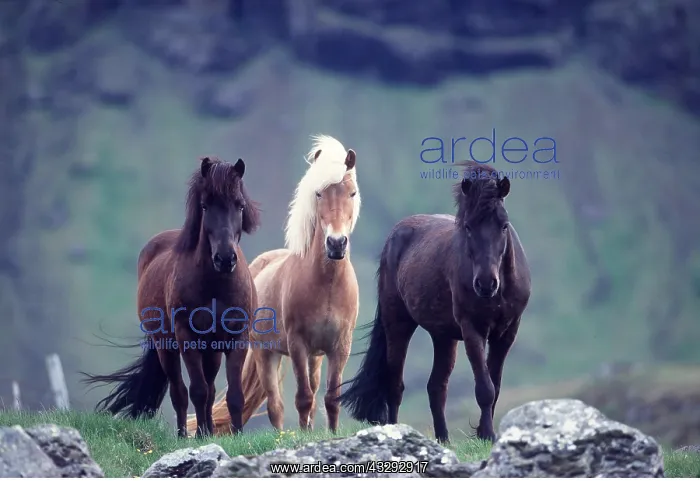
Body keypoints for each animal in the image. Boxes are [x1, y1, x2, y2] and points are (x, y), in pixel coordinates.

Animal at [82, 156, 261, 438]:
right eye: (205, 206)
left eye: (240, 205)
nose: (224, 259)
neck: (216, 287)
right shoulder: (186, 338)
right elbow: (196, 391)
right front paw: (198, 435)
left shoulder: (237, 339)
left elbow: (234, 395)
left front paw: (236, 435)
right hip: (167, 347)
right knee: (181, 392)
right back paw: (185, 434)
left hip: (211, 351)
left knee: (210, 389)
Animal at [187, 134, 361, 435]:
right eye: (319, 194)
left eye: (351, 193)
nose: (336, 244)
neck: (327, 285)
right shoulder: (297, 344)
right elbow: (302, 398)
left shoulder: (340, 347)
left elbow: (330, 398)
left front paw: (331, 434)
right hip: (265, 354)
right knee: (275, 406)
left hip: (315, 356)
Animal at [338, 161, 531, 443]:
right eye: (468, 227)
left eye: (504, 225)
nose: (486, 284)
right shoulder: (472, 330)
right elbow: (485, 388)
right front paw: (486, 434)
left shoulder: (507, 332)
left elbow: (494, 385)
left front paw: (487, 434)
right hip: (398, 324)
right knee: (395, 384)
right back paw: (395, 430)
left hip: (444, 337)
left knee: (436, 386)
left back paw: (443, 438)